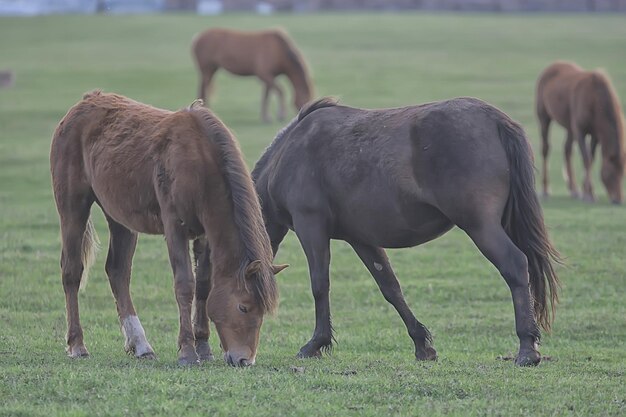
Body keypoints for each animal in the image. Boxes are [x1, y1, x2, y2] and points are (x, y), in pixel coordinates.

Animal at [50, 90, 284, 364]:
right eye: (243, 307)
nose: (245, 360)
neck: (200, 163)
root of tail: (83, 103)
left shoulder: (205, 234)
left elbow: (204, 285)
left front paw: (203, 345)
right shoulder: (175, 228)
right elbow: (185, 284)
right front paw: (187, 350)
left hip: (119, 217)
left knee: (118, 272)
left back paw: (140, 344)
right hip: (73, 207)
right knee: (72, 271)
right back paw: (77, 344)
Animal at [254, 96, 560, 364]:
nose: (243, 356)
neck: (289, 153)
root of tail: (495, 119)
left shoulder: (311, 226)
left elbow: (320, 285)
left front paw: (316, 343)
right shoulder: (361, 239)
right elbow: (390, 287)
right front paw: (422, 344)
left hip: (480, 227)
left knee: (515, 265)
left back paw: (527, 348)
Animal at [532, 61, 624, 204]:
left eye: (622, 173)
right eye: (611, 173)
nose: (618, 200)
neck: (594, 98)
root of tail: (551, 67)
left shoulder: (595, 135)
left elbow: (591, 159)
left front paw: (586, 190)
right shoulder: (581, 132)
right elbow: (587, 159)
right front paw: (588, 194)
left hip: (569, 127)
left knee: (567, 150)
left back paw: (573, 189)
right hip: (544, 118)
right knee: (545, 149)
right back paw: (546, 189)